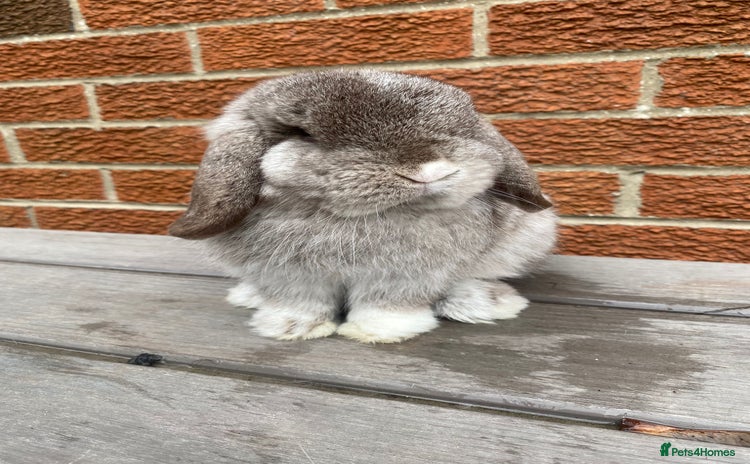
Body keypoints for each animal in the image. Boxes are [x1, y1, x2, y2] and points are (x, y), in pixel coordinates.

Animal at [169, 70, 557, 343]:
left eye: (463, 128)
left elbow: (387, 305)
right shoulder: (288, 277)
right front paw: (290, 328)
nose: (429, 170)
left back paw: (483, 302)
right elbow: (299, 303)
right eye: (301, 134)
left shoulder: (406, 276)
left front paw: (378, 332)